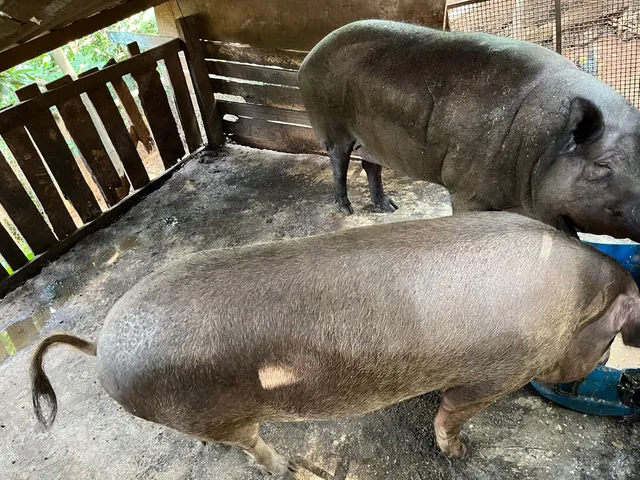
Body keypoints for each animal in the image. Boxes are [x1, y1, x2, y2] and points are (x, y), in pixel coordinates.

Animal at [31, 212, 640, 478]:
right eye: (609, 339)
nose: (581, 380)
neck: (575, 300)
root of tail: (102, 345)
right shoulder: (492, 377)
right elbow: (450, 415)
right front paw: (462, 454)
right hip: (226, 415)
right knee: (252, 446)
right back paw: (284, 467)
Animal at [298, 20, 640, 241]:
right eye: (603, 164)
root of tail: (309, 56)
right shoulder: (465, 187)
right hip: (330, 125)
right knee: (339, 163)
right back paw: (346, 209)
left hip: (373, 142)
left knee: (371, 167)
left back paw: (390, 207)